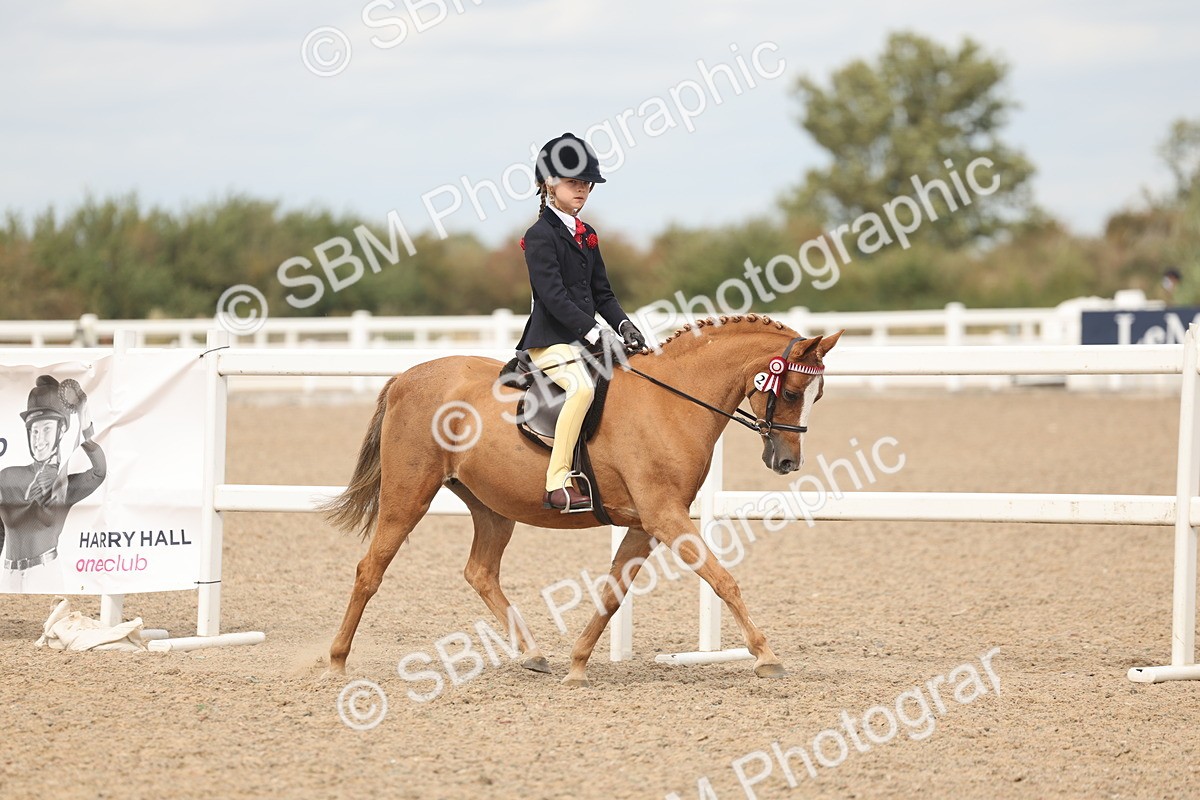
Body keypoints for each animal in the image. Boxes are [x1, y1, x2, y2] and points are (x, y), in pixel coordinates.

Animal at [322, 313, 843, 686]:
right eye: (791, 390)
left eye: (818, 396)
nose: (787, 462)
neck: (673, 402)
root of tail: (406, 376)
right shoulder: (665, 516)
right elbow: (723, 579)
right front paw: (767, 657)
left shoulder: (645, 523)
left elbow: (613, 593)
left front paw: (577, 663)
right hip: (409, 495)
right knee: (370, 570)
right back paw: (336, 661)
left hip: (492, 506)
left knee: (480, 572)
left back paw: (534, 654)